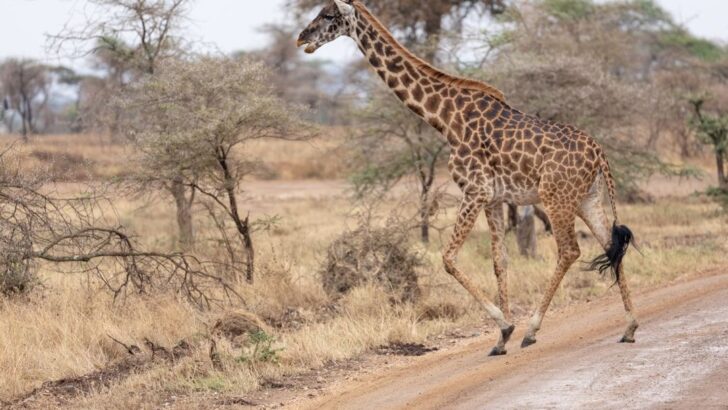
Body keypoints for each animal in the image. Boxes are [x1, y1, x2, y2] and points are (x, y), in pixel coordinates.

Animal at [298, 0, 638, 355]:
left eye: (329, 15)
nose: (301, 38)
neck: (446, 119)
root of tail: (599, 153)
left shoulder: (474, 191)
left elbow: (448, 258)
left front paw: (506, 326)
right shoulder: (494, 198)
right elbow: (500, 261)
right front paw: (501, 339)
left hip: (557, 197)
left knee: (570, 250)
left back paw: (533, 330)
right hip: (587, 198)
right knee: (611, 244)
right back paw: (629, 326)